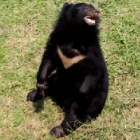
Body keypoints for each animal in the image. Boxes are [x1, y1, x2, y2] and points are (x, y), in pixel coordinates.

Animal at [26, 2, 109, 138]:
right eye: (87, 8)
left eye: (93, 8)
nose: (97, 12)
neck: (75, 35)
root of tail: (61, 100)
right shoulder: (56, 44)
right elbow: (48, 59)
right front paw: (41, 84)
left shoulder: (91, 53)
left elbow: (93, 72)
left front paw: (81, 93)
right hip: (58, 79)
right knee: (51, 84)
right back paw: (33, 94)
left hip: (95, 100)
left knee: (74, 115)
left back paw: (57, 130)